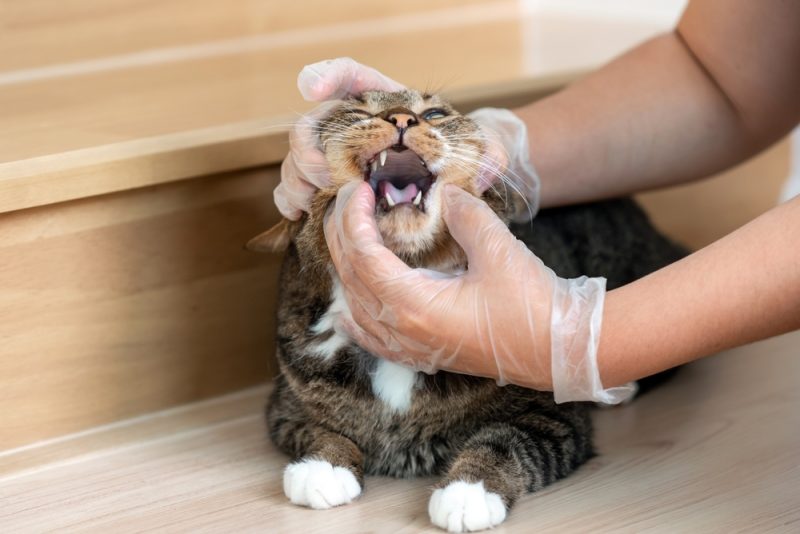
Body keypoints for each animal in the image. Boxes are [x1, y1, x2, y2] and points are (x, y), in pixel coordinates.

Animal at [252, 90, 688, 532]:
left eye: (433, 113)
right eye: (357, 110)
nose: (401, 118)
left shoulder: (552, 415)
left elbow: (502, 442)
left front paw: (467, 492)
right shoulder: (284, 410)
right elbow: (319, 431)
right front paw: (322, 468)